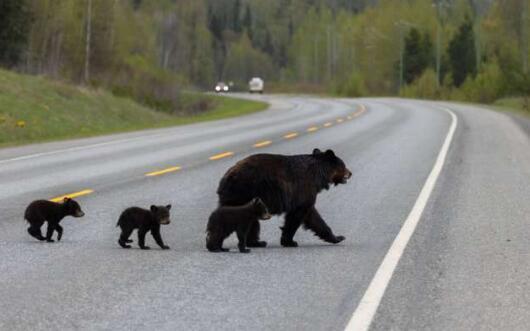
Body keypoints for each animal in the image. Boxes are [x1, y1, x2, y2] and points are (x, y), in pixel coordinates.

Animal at [214, 149, 350, 248]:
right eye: (344, 165)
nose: (350, 173)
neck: (317, 175)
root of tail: (225, 179)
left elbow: (313, 217)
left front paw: (337, 237)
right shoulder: (303, 189)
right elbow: (297, 215)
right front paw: (289, 241)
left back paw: (255, 242)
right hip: (243, 192)